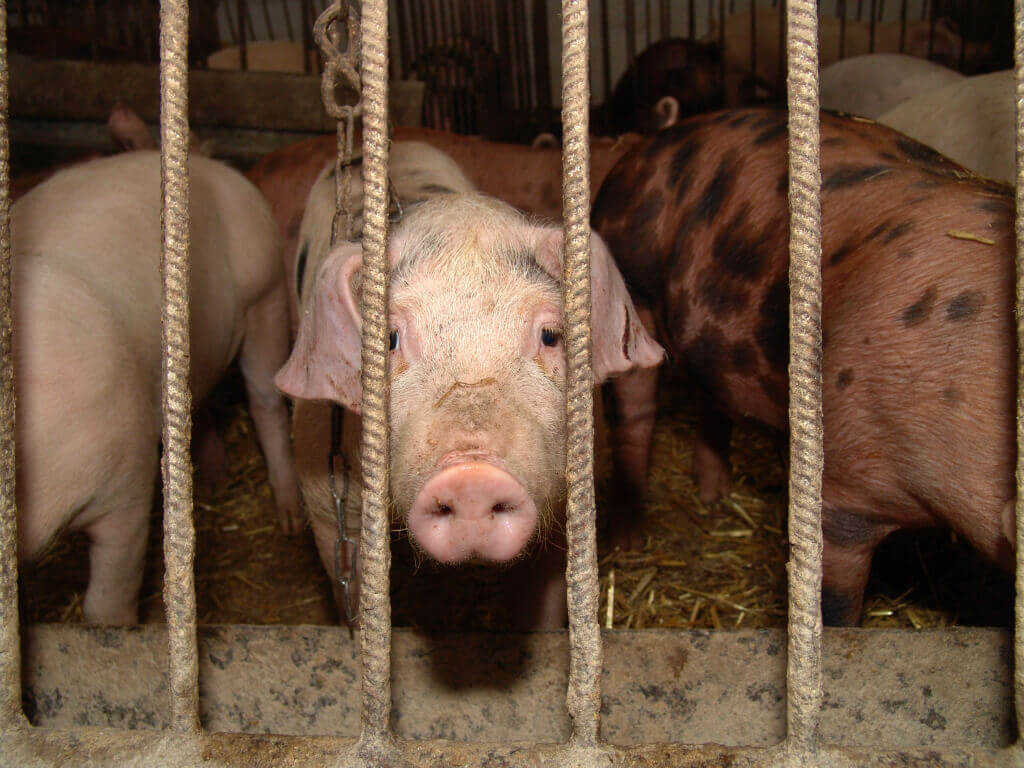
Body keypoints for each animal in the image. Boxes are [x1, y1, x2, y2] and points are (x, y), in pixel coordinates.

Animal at [13, 151, 302, 623]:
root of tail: (211, 165)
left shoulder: (125, 477)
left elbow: (106, 603)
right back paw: (214, 482)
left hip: (266, 291)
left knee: (267, 401)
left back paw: (291, 520)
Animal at [591, 107, 1015, 625]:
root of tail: (642, 150)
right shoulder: (845, 487)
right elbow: (833, 600)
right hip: (636, 288)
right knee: (635, 414)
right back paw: (628, 541)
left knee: (713, 397)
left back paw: (716, 496)